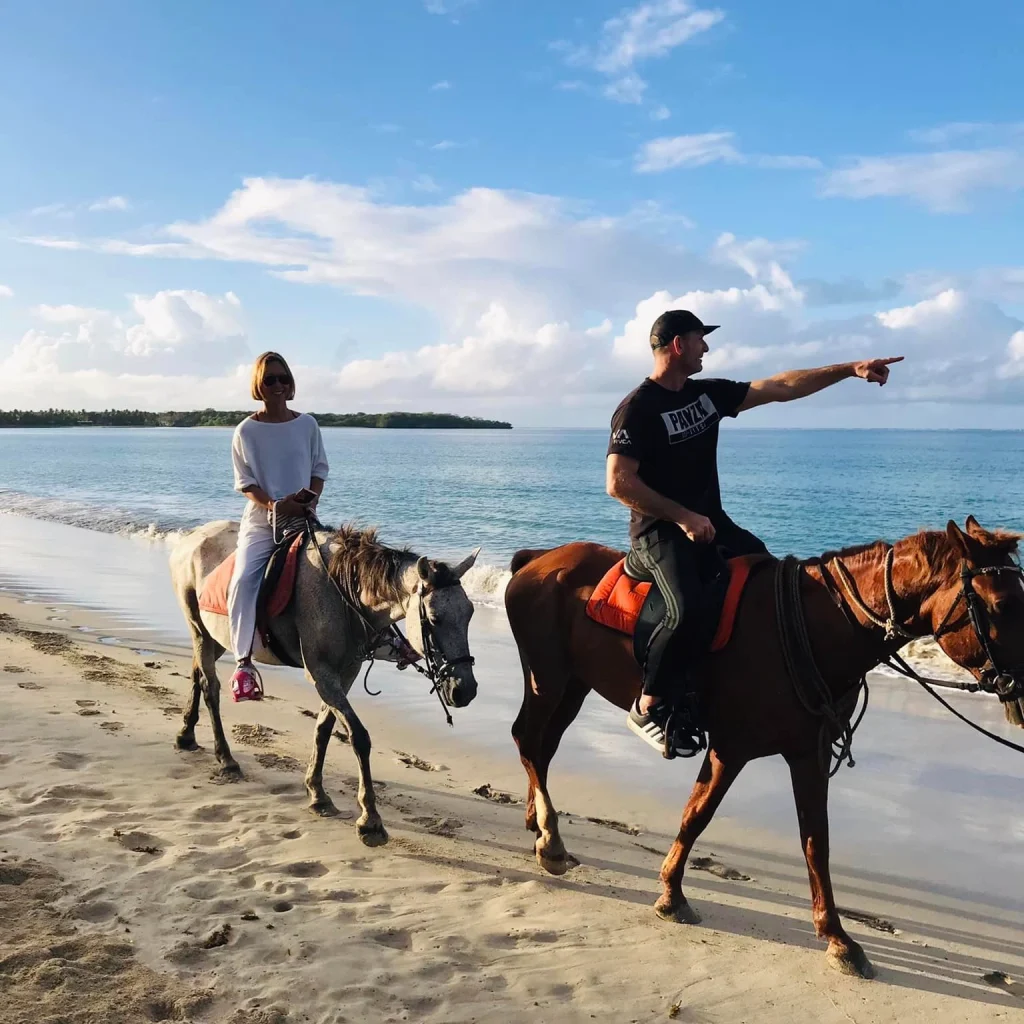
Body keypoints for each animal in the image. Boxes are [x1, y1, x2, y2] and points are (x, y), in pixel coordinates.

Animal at [170, 521, 480, 846]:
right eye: (433, 619)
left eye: (469, 613)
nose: (465, 690)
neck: (343, 592)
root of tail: (191, 538)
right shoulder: (321, 673)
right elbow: (358, 736)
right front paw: (370, 820)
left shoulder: (346, 672)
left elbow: (324, 728)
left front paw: (317, 793)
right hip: (199, 630)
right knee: (211, 688)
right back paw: (226, 759)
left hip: (215, 638)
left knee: (197, 674)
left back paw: (186, 735)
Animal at [504, 517, 1024, 978]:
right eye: (1000, 604)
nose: (1020, 684)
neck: (813, 626)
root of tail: (536, 560)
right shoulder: (730, 749)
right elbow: (697, 815)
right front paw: (671, 894)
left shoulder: (809, 753)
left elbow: (816, 841)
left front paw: (838, 938)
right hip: (549, 679)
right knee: (527, 739)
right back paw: (551, 840)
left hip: (574, 685)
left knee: (543, 748)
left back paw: (538, 823)